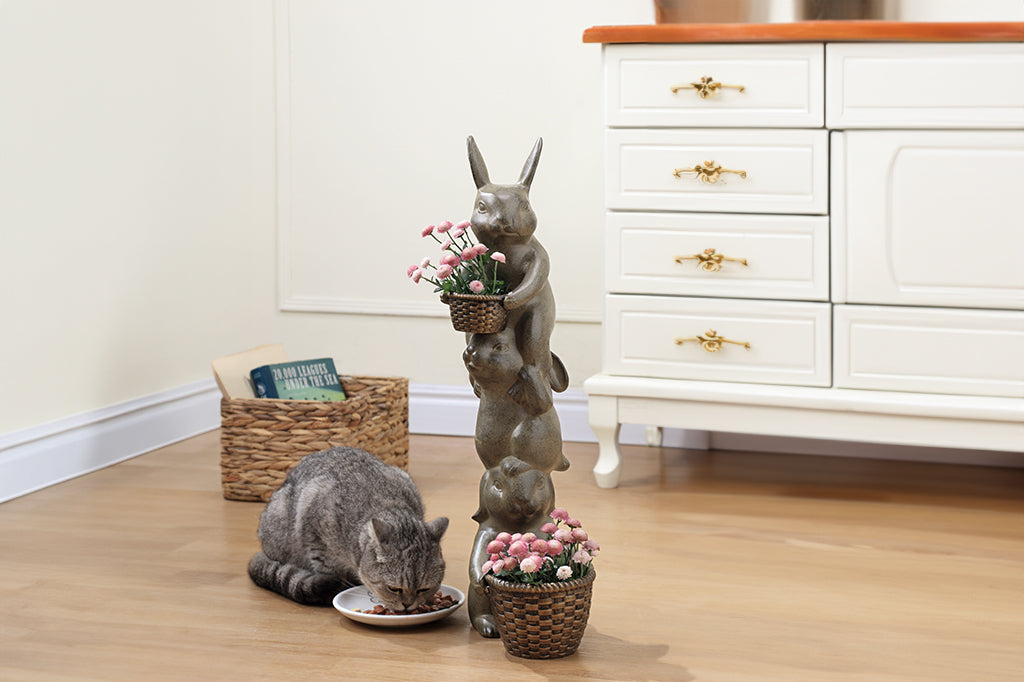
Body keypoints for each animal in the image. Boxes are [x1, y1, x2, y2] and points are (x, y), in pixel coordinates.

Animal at [247, 444, 448, 606]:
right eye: (394, 589)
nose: (408, 606)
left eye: (424, 589)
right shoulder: (317, 538)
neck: (391, 506)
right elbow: (330, 570)